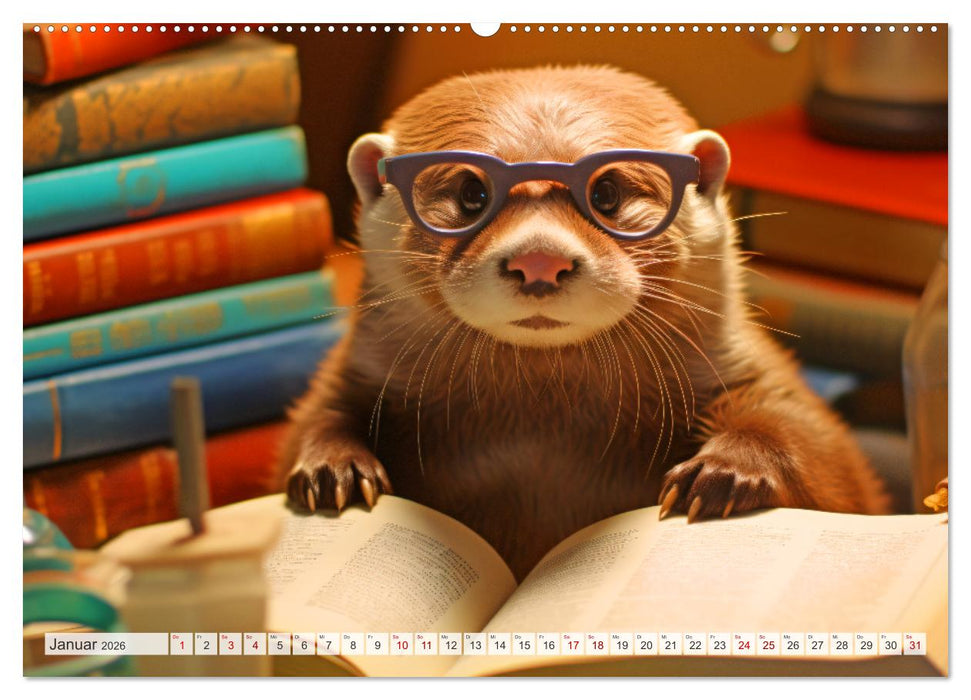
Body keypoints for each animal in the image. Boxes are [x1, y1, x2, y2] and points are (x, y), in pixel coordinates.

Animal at [278, 66, 890, 580]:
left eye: (607, 191)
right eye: (471, 192)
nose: (539, 259)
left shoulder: (761, 377)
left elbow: (814, 444)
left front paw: (725, 472)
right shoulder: (348, 375)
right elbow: (313, 418)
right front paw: (331, 468)